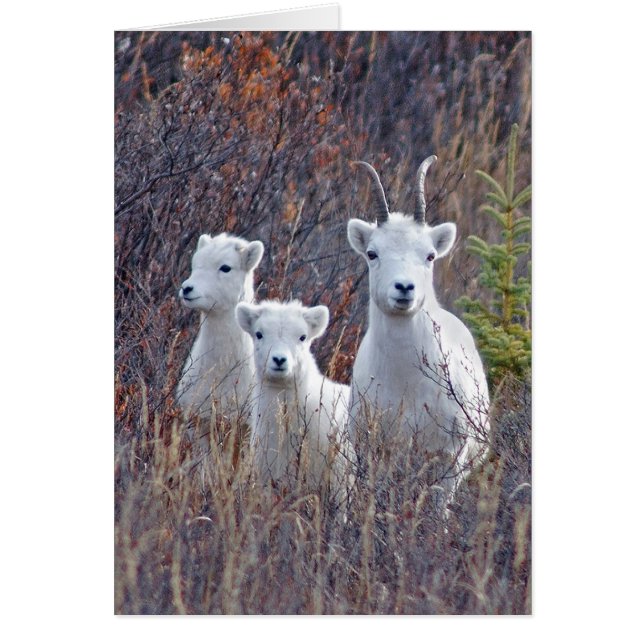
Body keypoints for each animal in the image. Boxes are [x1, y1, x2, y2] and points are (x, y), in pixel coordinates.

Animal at [347, 156, 490, 502]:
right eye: (372, 253)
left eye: (430, 255)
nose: (404, 288)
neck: (407, 384)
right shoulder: (371, 454)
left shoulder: (449, 458)